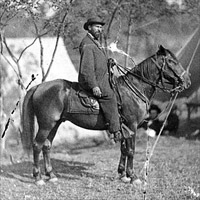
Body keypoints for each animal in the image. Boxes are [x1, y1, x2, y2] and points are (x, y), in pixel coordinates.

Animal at [20, 45, 191, 186]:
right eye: (171, 61)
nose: (187, 81)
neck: (134, 89)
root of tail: (39, 86)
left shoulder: (124, 128)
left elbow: (124, 149)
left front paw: (123, 174)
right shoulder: (132, 126)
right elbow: (131, 150)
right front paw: (133, 177)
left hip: (55, 124)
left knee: (46, 146)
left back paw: (51, 175)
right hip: (46, 124)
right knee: (37, 145)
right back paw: (38, 178)